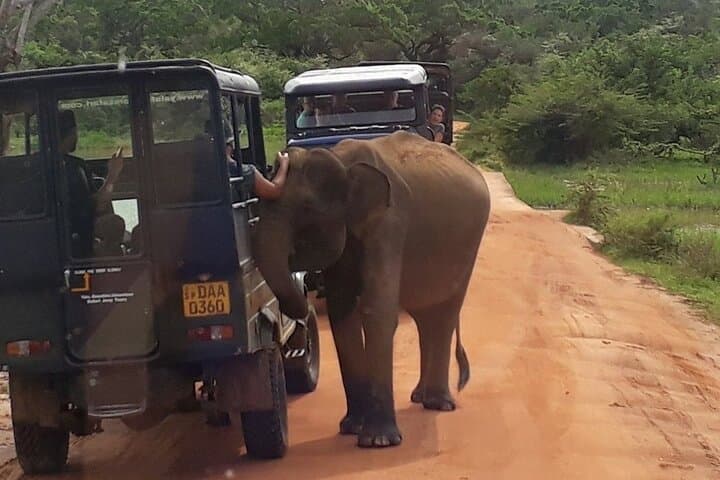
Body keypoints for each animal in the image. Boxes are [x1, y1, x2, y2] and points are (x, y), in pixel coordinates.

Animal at [252, 131, 491, 448]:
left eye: (307, 210)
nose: (300, 306)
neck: (342, 160)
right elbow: (342, 312)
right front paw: (352, 428)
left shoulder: (390, 222)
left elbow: (376, 312)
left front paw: (378, 441)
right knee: (425, 317)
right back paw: (420, 397)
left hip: (468, 247)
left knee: (444, 314)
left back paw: (437, 404)